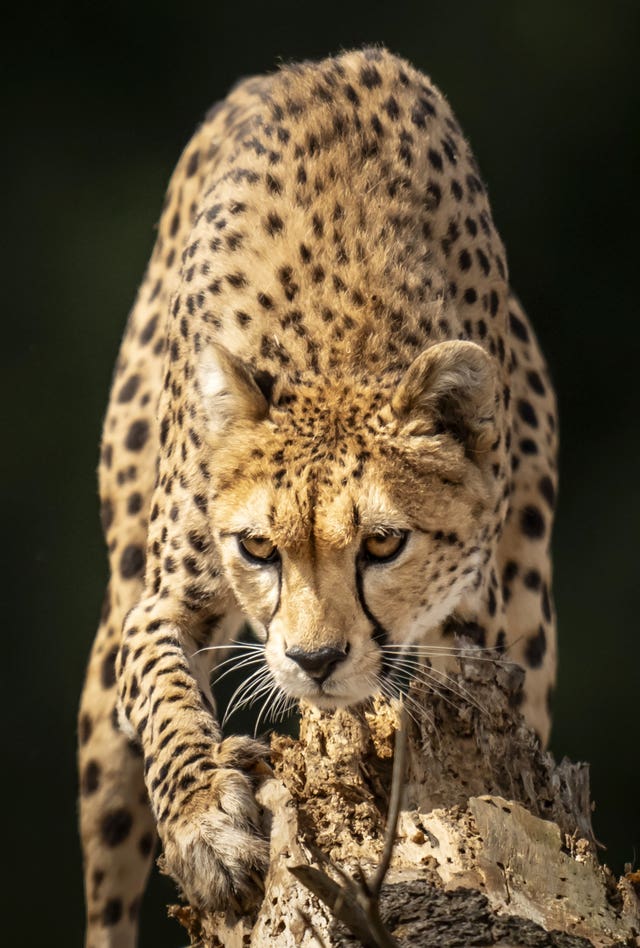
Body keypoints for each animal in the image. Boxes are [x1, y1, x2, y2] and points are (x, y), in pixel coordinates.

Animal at [77, 48, 556, 944]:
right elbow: (165, 693)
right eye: (258, 549)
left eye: (383, 543)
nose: (314, 661)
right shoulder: (158, 602)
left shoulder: (474, 632)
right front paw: (206, 822)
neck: (342, 335)